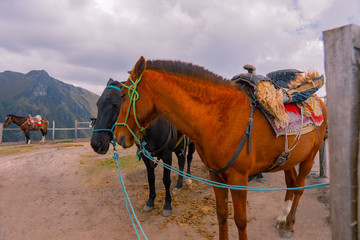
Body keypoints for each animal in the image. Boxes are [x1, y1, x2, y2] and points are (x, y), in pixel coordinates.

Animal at [91, 79, 195, 218]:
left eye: (115, 104)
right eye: (98, 104)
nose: (96, 143)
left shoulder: (167, 155)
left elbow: (166, 180)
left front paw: (167, 205)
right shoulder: (146, 155)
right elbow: (150, 178)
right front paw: (150, 202)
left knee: (188, 159)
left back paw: (188, 179)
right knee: (182, 161)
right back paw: (179, 185)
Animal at [114, 56, 328, 240]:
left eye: (123, 95)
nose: (118, 136)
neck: (219, 117)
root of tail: (320, 101)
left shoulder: (239, 178)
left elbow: (241, 220)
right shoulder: (216, 176)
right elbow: (222, 214)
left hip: (310, 156)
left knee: (299, 188)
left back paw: (289, 225)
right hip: (289, 159)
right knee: (292, 183)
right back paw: (282, 218)